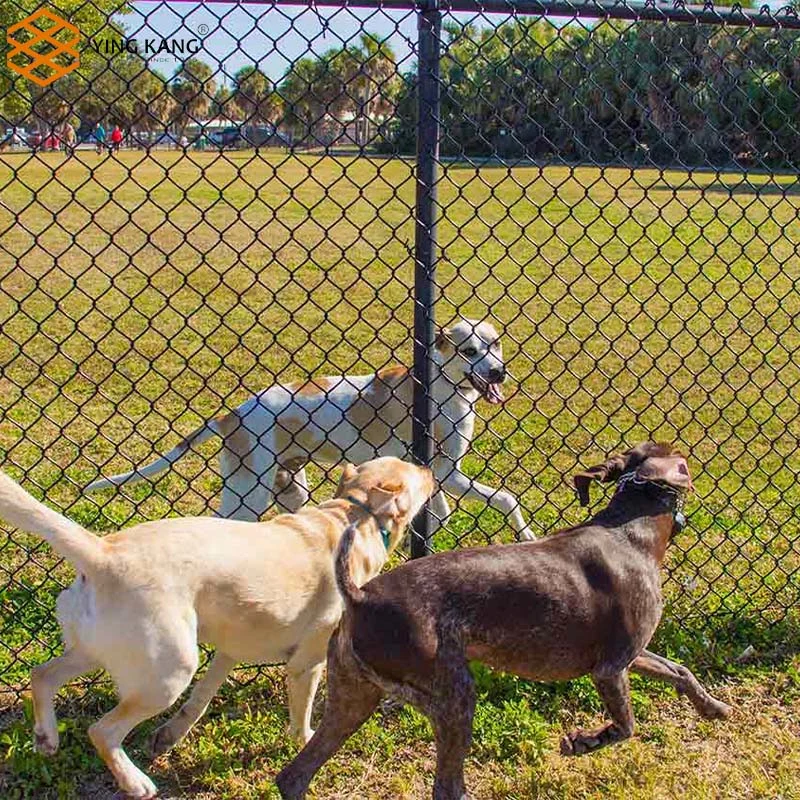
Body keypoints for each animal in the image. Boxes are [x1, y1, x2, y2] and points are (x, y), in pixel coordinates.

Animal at [87, 318, 536, 544]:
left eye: (495, 344)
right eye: (469, 351)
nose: (498, 372)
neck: (441, 383)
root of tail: (233, 414)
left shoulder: (439, 477)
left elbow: (443, 515)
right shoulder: (450, 474)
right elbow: (507, 499)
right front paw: (527, 535)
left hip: (287, 487)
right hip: (249, 492)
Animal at [276, 444, 732, 800]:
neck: (631, 531)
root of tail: (360, 595)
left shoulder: (633, 655)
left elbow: (681, 671)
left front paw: (713, 707)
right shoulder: (610, 668)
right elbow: (626, 726)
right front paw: (584, 742)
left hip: (353, 699)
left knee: (293, 776)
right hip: (453, 697)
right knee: (446, 786)